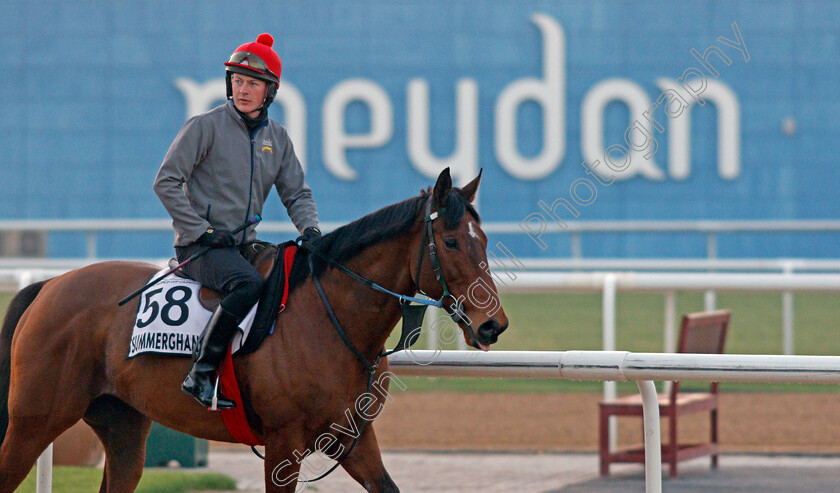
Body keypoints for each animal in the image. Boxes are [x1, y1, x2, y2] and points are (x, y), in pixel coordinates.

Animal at [0, 167, 508, 490]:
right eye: (450, 241)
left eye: (484, 240)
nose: (492, 325)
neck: (331, 319)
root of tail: (50, 285)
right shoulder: (284, 444)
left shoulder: (354, 439)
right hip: (34, 420)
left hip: (121, 424)